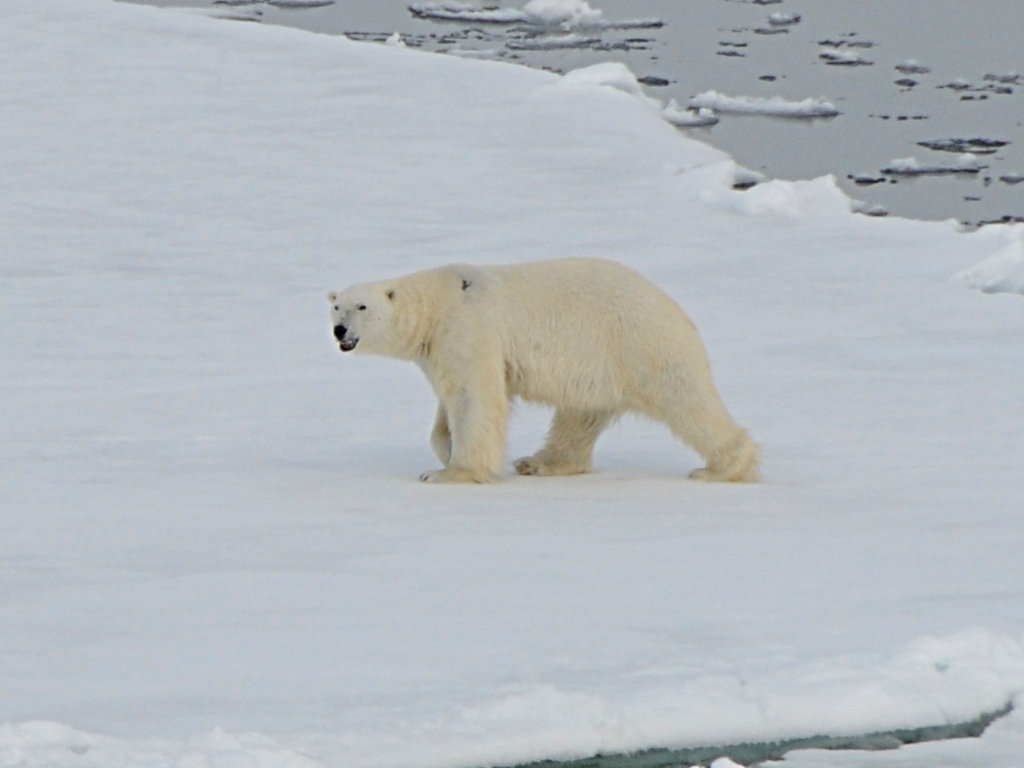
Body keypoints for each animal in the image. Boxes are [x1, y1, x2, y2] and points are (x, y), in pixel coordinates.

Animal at [327, 260, 761, 487]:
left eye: (362, 306)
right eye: (336, 306)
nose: (340, 331)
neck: (439, 302)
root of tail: (677, 311)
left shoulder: (469, 329)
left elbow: (475, 398)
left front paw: (449, 472)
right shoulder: (439, 350)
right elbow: (447, 405)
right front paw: (447, 449)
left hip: (639, 344)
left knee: (685, 398)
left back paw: (721, 467)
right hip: (599, 364)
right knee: (579, 416)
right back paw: (539, 462)